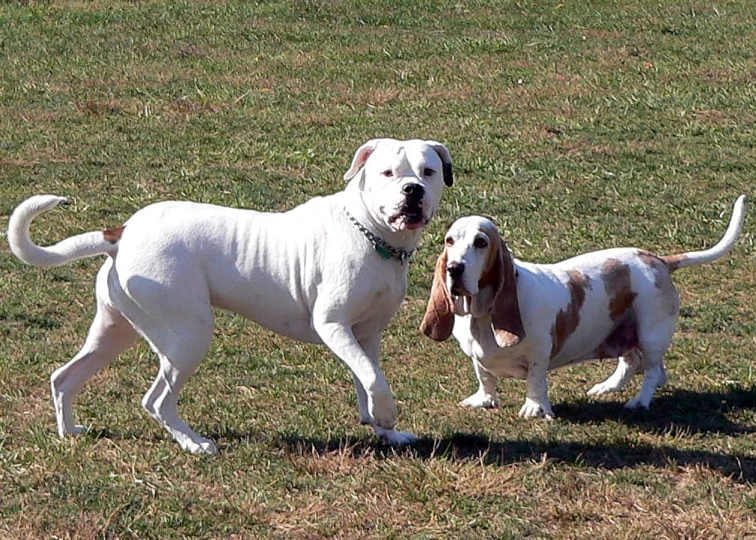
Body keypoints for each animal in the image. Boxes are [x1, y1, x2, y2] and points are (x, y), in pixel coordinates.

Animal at [8, 138, 454, 452]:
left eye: (428, 171)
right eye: (387, 172)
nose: (413, 190)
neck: (370, 233)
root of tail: (122, 233)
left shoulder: (366, 335)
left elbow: (369, 377)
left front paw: (384, 429)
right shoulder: (334, 326)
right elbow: (375, 380)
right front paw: (386, 415)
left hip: (115, 331)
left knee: (65, 377)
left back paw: (69, 431)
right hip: (188, 335)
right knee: (156, 401)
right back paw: (194, 443)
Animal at [422, 196, 748, 420]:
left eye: (480, 242)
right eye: (449, 241)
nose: (454, 268)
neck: (483, 314)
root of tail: (659, 260)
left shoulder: (539, 352)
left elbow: (536, 382)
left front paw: (534, 408)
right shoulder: (477, 357)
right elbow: (485, 377)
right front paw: (483, 400)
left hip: (651, 335)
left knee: (653, 371)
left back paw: (639, 402)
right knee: (632, 362)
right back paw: (606, 387)